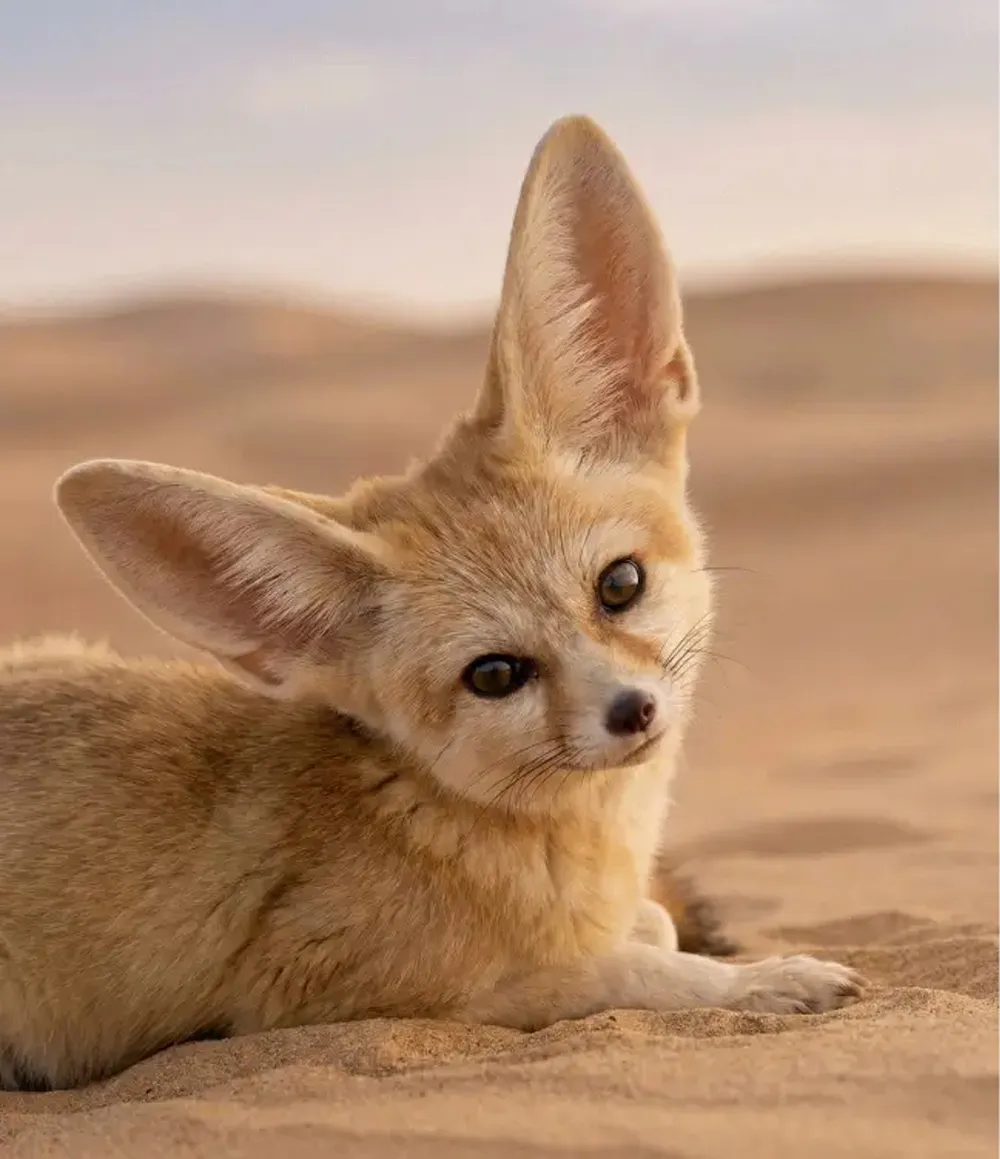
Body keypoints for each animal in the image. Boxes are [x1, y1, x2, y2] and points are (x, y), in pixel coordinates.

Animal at [0, 115, 861, 1091]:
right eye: (493, 674)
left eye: (620, 585)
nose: (632, 711)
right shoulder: (325, 988)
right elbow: (629, 967)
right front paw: (767, 978)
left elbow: (653, 923)